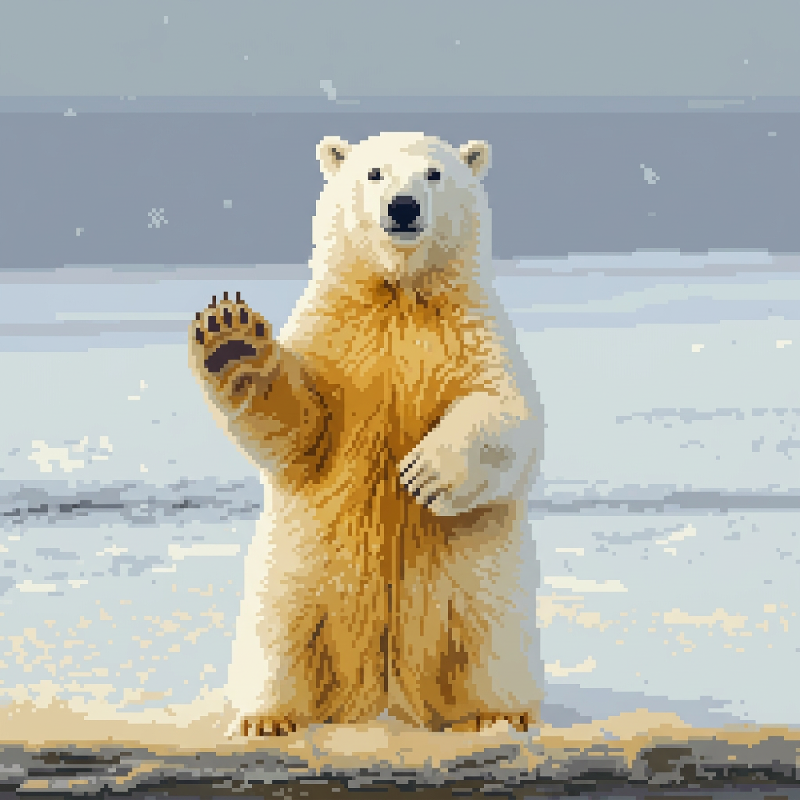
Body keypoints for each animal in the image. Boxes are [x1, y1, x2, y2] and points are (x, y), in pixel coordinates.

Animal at [188, 132, 544, 737]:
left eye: (433, 173)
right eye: (374, 173)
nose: (402, 207)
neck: (398, 295)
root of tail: (383, 696)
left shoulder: (470, 330)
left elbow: (506, 410)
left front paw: (425, 472)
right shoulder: (339, 337)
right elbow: (305, 428)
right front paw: (232, 340)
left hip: (485, 589)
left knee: (488, 644)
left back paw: (498, 715)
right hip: (295, 578)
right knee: (280, 641)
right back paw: (267, 719)